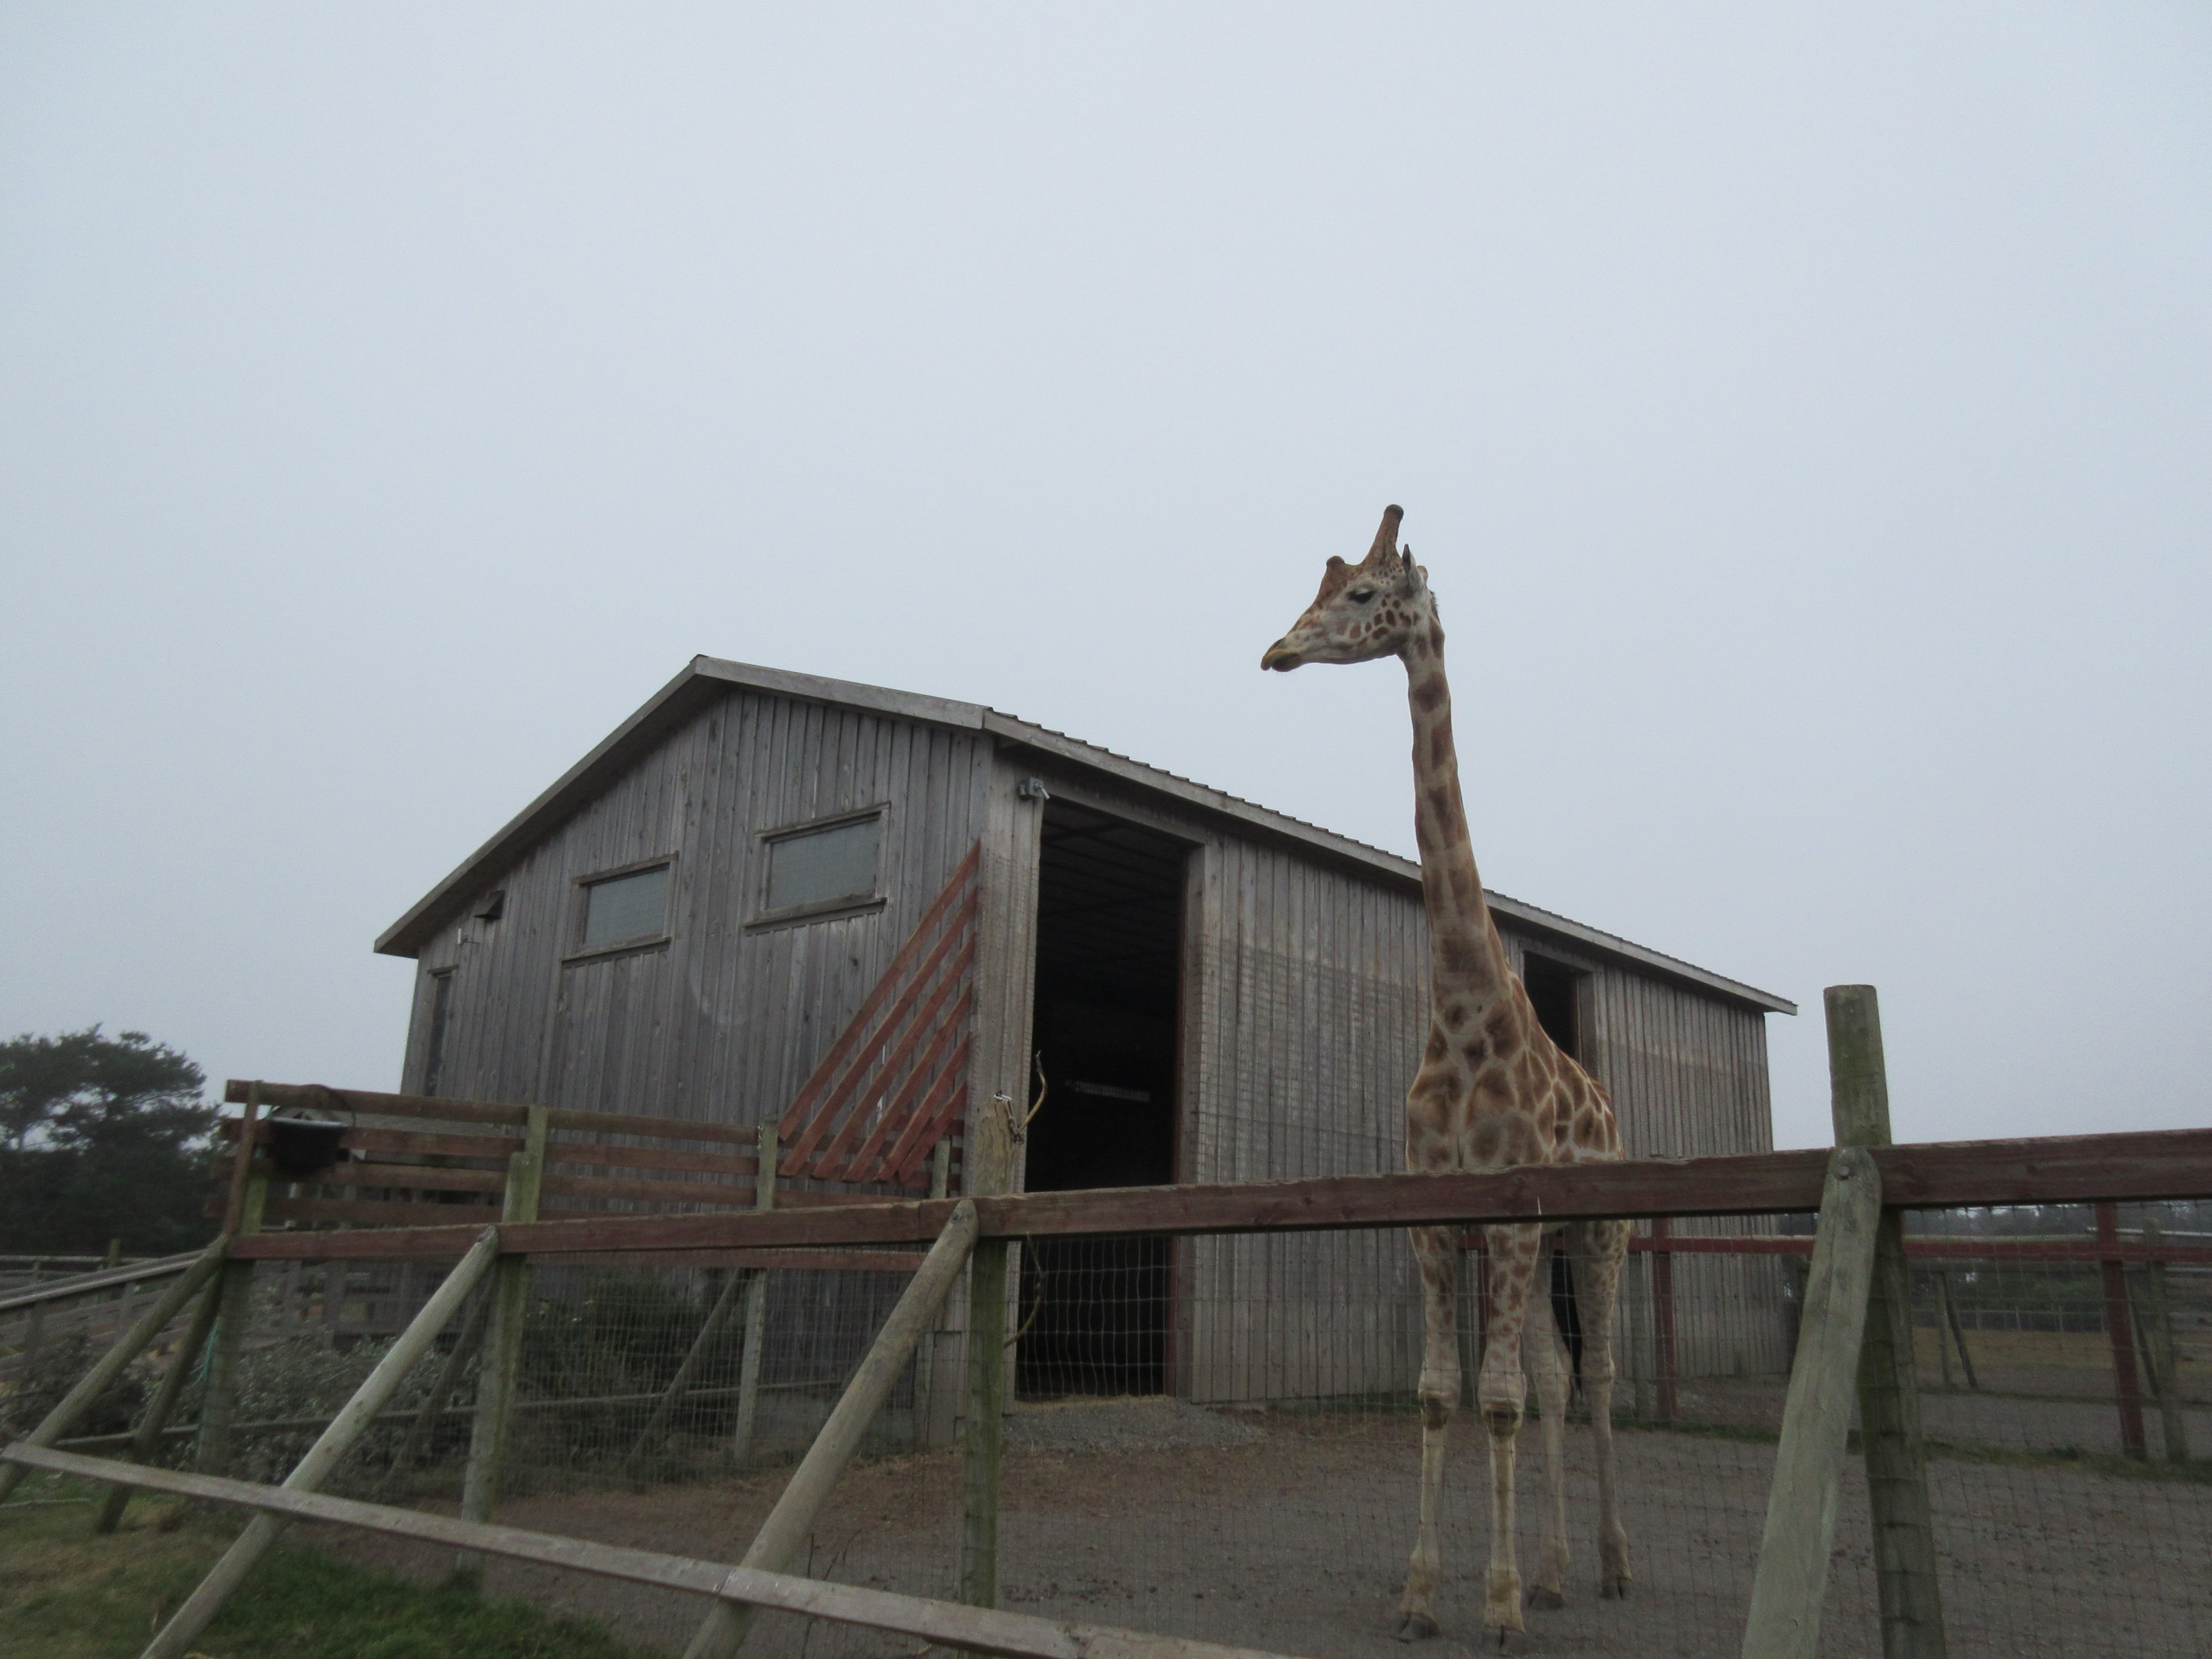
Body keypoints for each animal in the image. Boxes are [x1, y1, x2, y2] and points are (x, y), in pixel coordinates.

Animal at [1262, 505, 1633, 1644]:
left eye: (1365, 594)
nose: (1277, 649)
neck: (1465, 1009)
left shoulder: (1509, 1219)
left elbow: (1499, 1398)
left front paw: (1499, 1606)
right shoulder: (1435, 1219)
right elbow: (1441, 1393)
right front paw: (1426, 1594)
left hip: (1596, 1234)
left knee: (1597, 1375)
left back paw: (1609, 1565)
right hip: (1545, 1241)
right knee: (1556, 1376)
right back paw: (1557, 1569)